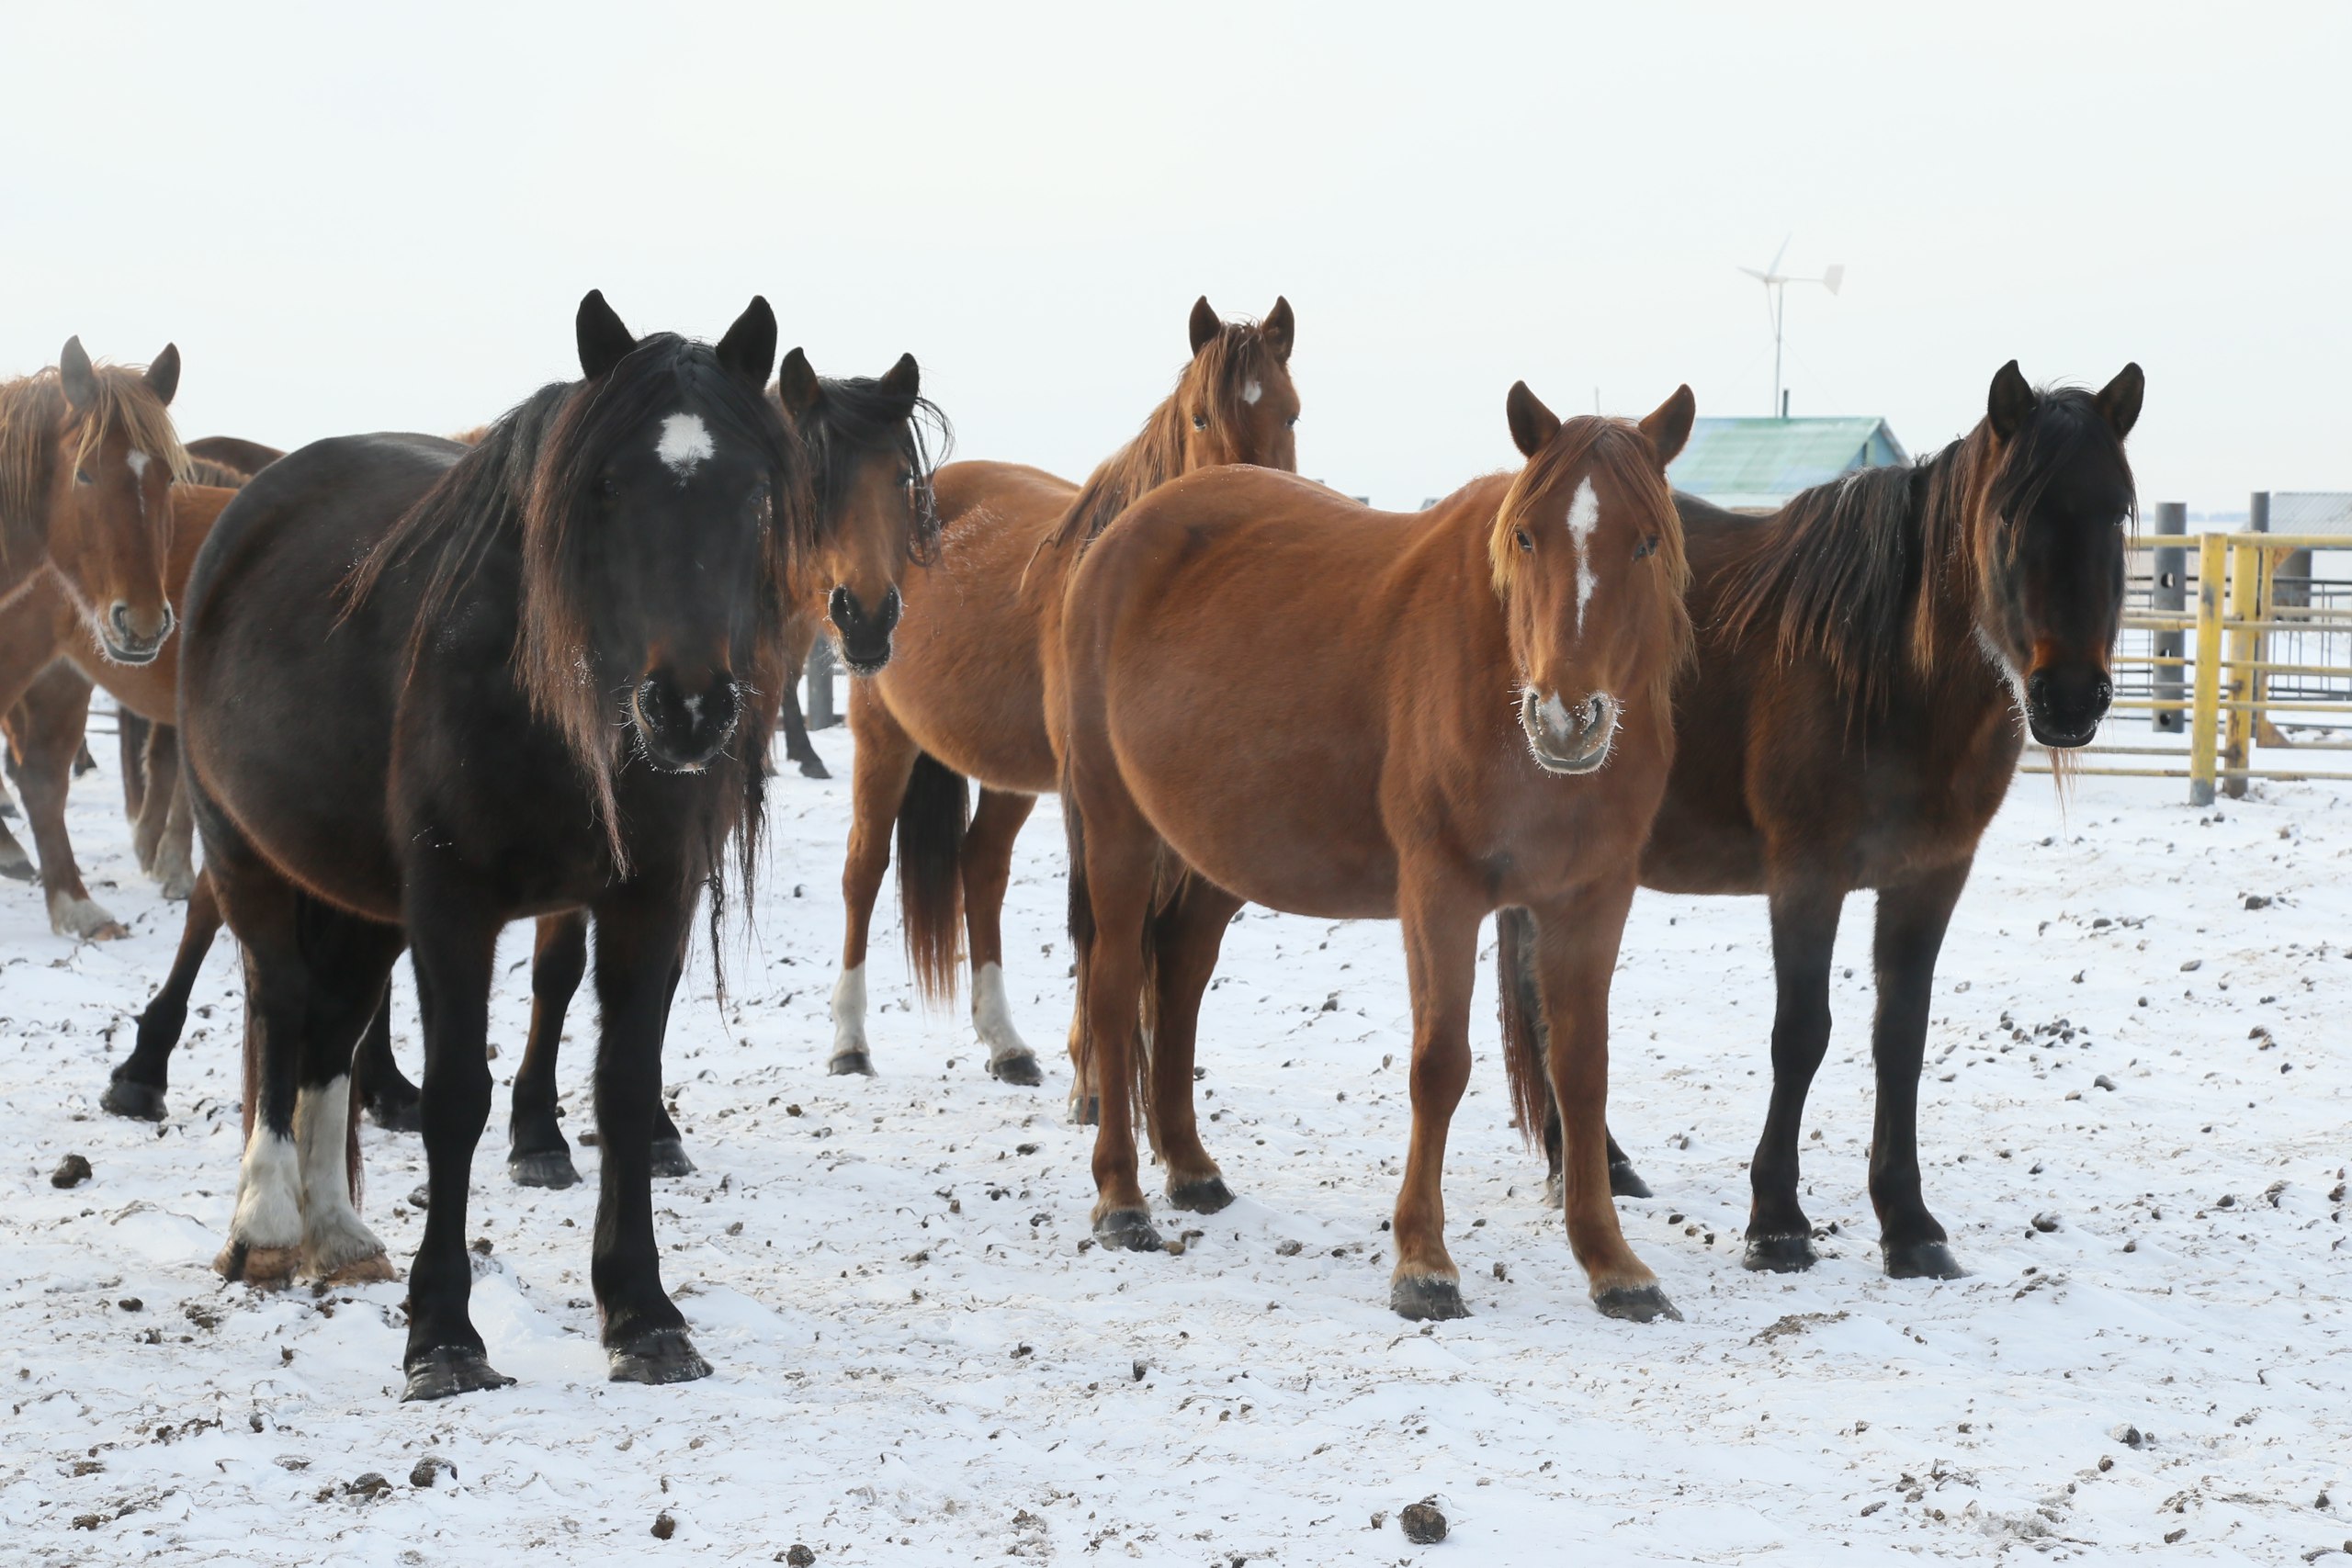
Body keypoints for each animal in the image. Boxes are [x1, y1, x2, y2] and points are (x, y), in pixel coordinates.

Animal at [178, 293, 813, 1401]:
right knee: (281, 1004)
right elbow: (453, 1103)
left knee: (331, 1028)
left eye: (751, 491)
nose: (690, 708)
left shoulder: (650, 898)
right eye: (607, 487)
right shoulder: (453, 906)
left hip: (362, 900)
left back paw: (338, 1234)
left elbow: (625, 1088)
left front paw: (643, 1316)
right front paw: (442, 1334)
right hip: (245, 850)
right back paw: (265, 1227)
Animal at [832, 300, 1307, 1100]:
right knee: (863, 870)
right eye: (1201, 417)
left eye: (1292, 412)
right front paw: (1097, 1084)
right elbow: (1101, 921)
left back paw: (1007, 1047)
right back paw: (849, 1042)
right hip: (883, 736)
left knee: (980, 867)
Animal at [1063, 380, 1693, 1325]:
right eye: (1526, 535)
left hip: (1219, 852)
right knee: (1110, 992)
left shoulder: (1591, 899)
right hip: (1119, 831)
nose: (1565, 718)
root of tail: (1117, 539)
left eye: (1646, 540)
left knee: (1177, 975)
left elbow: (1582, 1070)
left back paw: (1192, 1169)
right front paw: (1424, 1261)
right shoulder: (1439, 892)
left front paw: (1612, 1263)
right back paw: (1121, 1199)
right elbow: (1440, 1063)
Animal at [1514, 362, 2144, 1279]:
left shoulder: (1929, 879)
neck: (1889, 677)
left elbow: (1901, 1039)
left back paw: (1593, 1160)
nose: (2069, 697)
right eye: (2008, 515)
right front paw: (1777, 1220)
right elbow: (1801, 1034)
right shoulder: (1806, 876)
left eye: (2118, 512)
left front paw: (1909, 1223)